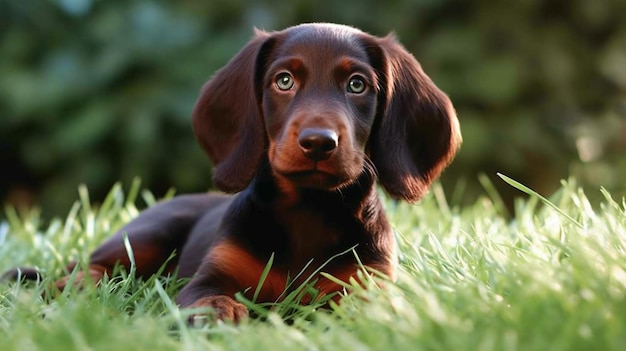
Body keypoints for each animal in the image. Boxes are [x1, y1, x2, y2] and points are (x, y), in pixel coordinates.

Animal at [3, 22, 458, 324]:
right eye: (284, 80)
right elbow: (210, 300)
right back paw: (71, 288)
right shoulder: (209, 278)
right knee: (91, 267)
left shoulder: (366, 283)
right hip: (147, 234)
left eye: (358, 85)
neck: (308, 211)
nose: (318, 142)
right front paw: (218, 319)